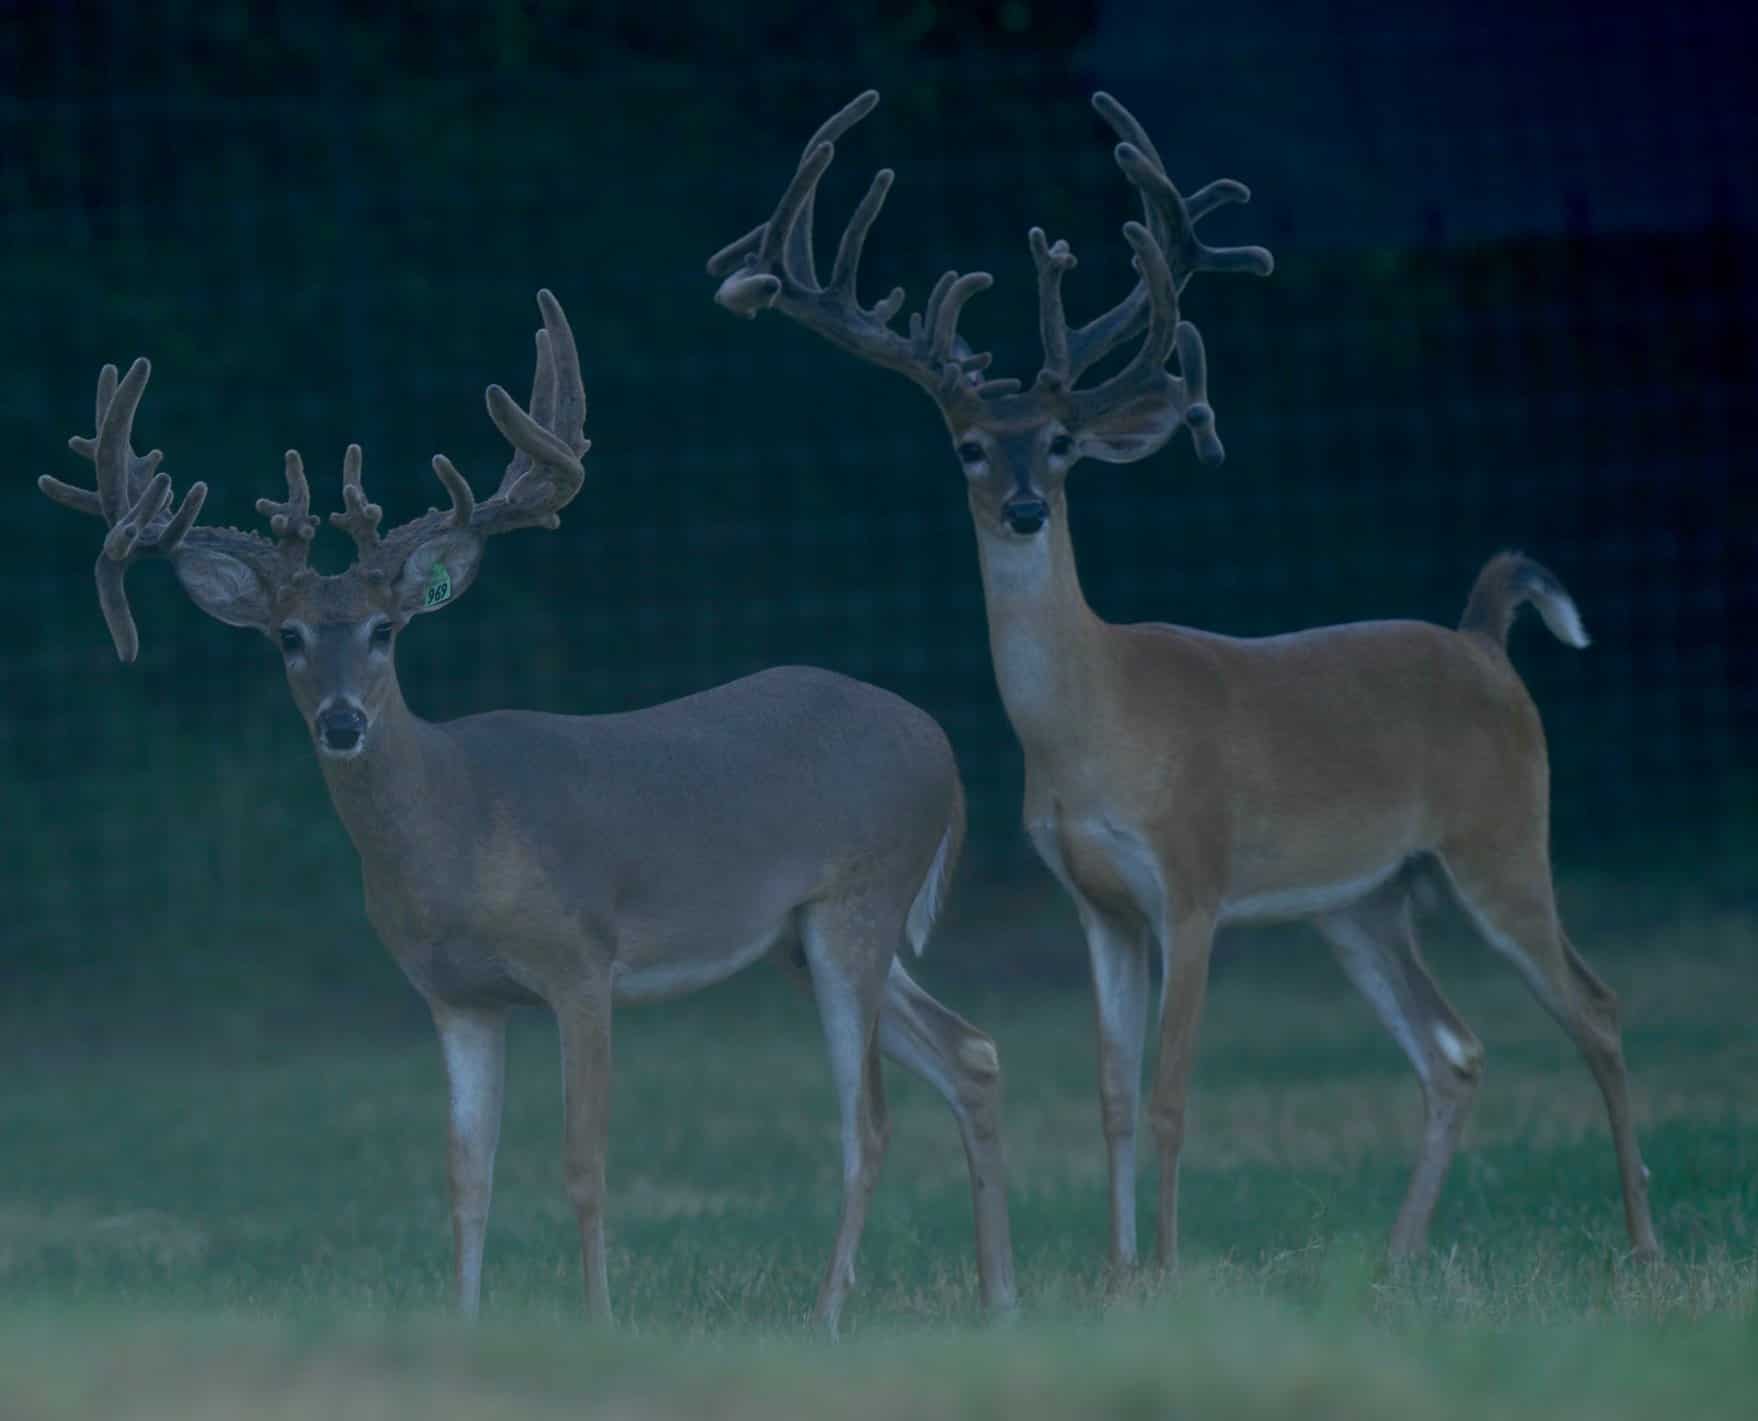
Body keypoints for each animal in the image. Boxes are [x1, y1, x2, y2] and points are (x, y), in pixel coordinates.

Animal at [37, 289, 1018, 1335]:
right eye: (288, 635)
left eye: (385, 630)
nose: (342, 720)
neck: (455, 833)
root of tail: (942, 746)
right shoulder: (456, 996)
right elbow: (467, 1174)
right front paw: (463, 1324)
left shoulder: (581, 961)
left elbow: (583, 1163)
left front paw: (600, 1321)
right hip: (798, 936)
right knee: (970, 1051)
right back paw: (999, 1296)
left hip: (857, 899)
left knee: (868, 1119)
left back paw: (827, 1313)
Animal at [708, 91, 1661, 1272]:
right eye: (971, 444)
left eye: (1063, 443)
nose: (1025, 508)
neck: (1096, 724)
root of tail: (1484, 639)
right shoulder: (1098, 900)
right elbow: (1113, 1095)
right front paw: (1119, 1277)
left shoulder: (1194, 876)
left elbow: (1169, 1097)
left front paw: (1163, 1268)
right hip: (1362, 898)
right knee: (1454, 1047)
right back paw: (1396, 1261)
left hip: (1501, 834)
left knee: (1596, 1005)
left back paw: (1643, 1243)